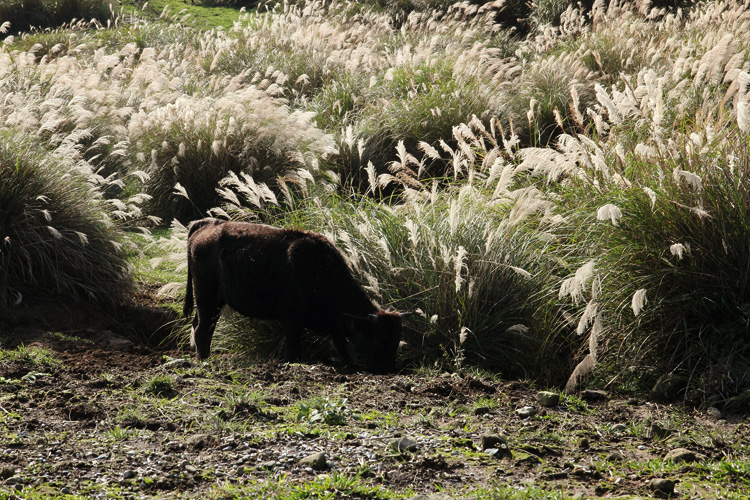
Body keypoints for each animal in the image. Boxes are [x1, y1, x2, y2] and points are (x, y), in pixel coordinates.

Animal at [183, 217, 408, 374]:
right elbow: (293, 350)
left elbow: (341, 346)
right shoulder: (292, 320)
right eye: (380, 338)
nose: (388, 369)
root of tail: (208, 225)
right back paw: (205, 361)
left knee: (203, 328)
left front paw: (349, 366)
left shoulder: (334, 323)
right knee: (202, 330)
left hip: (214, 303)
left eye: (397, 338)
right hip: (207, 298)